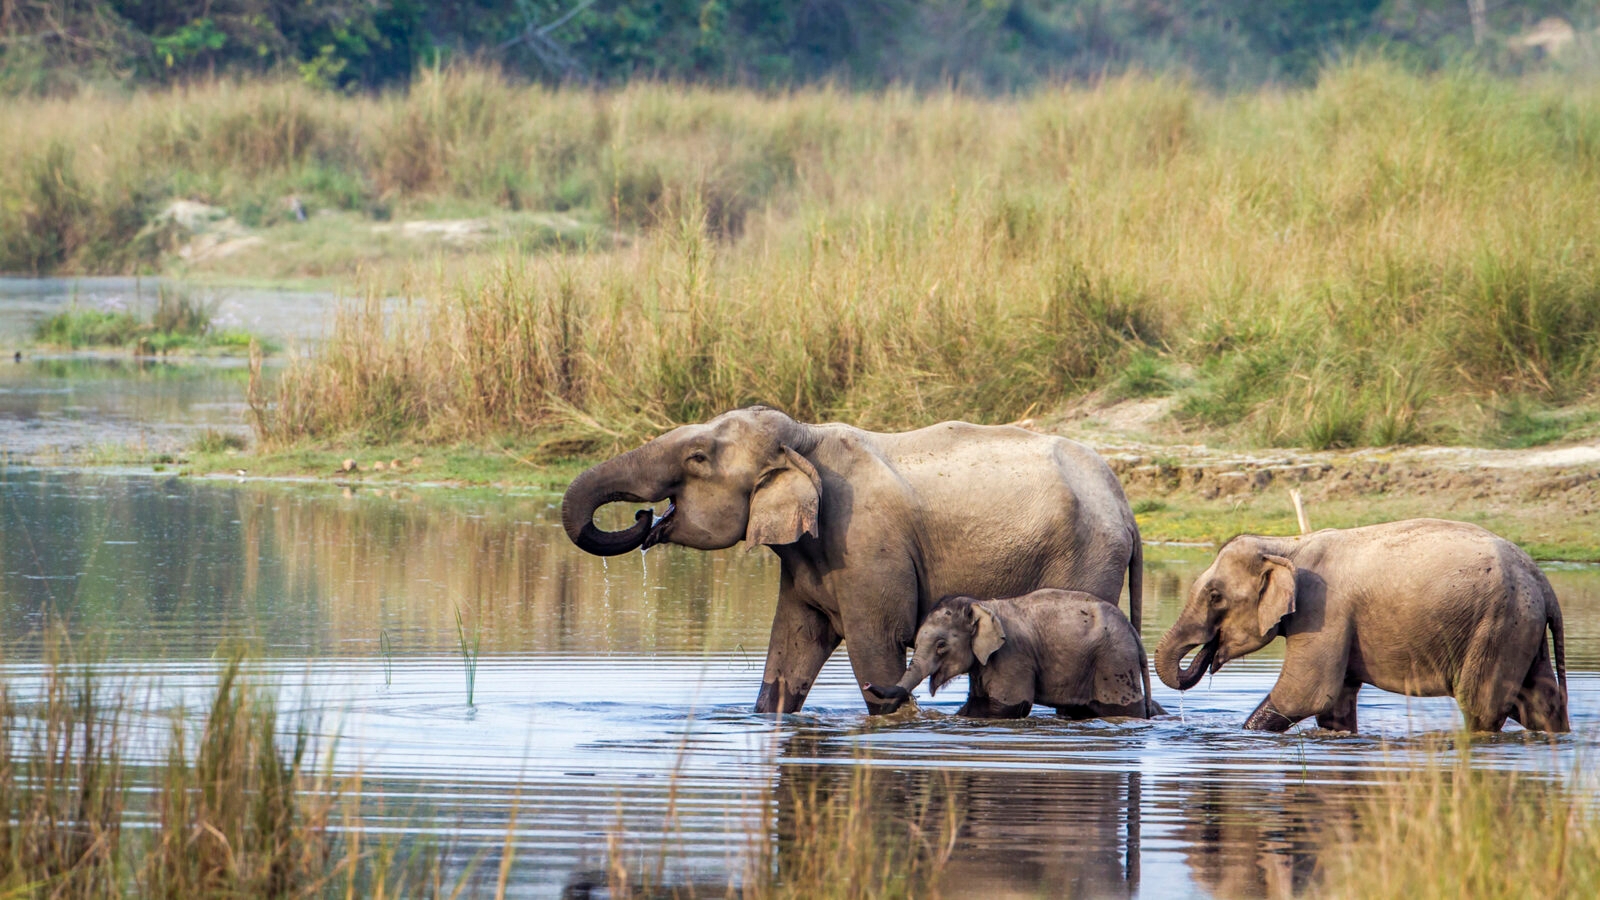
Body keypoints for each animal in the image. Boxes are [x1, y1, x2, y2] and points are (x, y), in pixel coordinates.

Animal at [864, 591, 1163, 719]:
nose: (866, 684)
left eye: (940, 645)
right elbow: (977, 705)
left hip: (1114, 663)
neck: (981, 604)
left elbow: (1009, 707)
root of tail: (1133, 632)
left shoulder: (1012, 656)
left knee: (1119, 708)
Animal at [1154, 518, 1568, 733]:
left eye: (1215, 597)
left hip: (1497, 625)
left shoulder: (1324, 612)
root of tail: (1544, 583)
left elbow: (1304, 694)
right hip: (1520, 628)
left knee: (1481, 706)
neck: (1288, 545)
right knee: (1539, 701)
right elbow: (1334, 706)